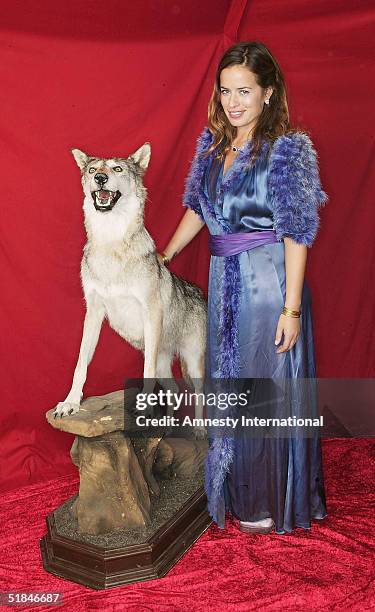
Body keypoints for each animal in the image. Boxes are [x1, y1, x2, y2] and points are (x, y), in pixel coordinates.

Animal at [53, 143, 207, 432]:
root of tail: (200, 292)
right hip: (163, 361)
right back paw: (167, 426)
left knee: (200, 394)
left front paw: (144, 409)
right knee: (174, 390)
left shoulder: (151, 314)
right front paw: (70, 403)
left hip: (192, 363)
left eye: (117, 169)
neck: (111, 243)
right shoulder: (93, 312)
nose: (100, 178)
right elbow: (80, 364)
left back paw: (200, 430)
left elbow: (145, 373)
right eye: (92, 170)